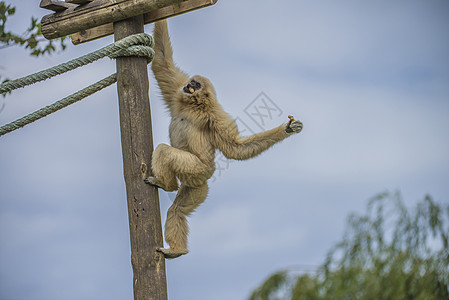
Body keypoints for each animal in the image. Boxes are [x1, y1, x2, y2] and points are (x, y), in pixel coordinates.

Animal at [145, 19, 302, 258]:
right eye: (191, 82)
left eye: (196, 85)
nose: (188, 85)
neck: (194, 106)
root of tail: (206, 175)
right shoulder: (177, 94)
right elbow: (161, 62)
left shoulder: (217, 116)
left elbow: (234, 148)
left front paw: (288, 129)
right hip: (197, 185)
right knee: (178, 209)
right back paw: (178, 249)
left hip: (198, 169)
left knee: (164, 152)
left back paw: (166, 184)